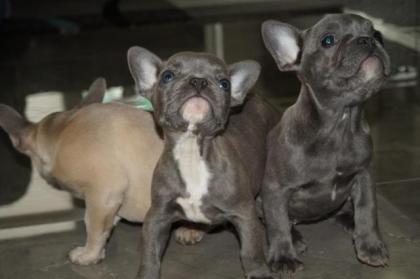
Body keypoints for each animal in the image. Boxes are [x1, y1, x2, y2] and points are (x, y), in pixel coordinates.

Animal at [0, 79, 164, 266]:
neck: (63, 130)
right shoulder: (111, 203)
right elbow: (107, 226)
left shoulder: (103, 195)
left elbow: (92, 227)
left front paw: (88, 254)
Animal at [126, 47, 280, 279]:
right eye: (167, 76)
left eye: (224, 83)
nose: (198, 81)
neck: (191, 149)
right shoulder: (157, 216)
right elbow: (150, 256)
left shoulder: (244, 212)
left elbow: (251, 251)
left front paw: (259, 273)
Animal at [260, 14, 392, 274]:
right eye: (328, 40)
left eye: (377, 35)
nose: (367, 40)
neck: (339, 124)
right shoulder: (275, 189)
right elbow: (277, 223)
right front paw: (283, 257)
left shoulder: (364, 176)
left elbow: (368, 210)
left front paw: (371, 245)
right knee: (282, 221)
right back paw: (295, 239)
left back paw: (349, 219)